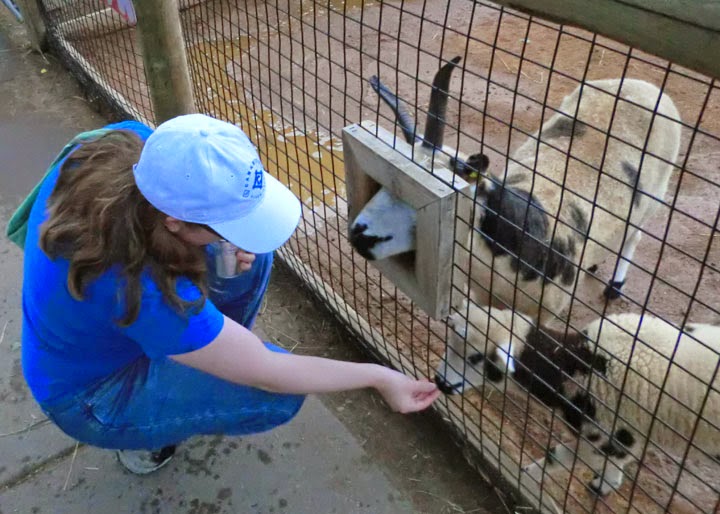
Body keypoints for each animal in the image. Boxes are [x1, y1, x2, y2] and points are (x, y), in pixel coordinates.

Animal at [350, 72, 682, 322]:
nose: (359, 235)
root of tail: (646, 86)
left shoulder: (545, 314)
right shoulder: (483, 296)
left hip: (655, 195)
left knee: (634, 236)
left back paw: (615, 285)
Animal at [437, 305, 720, 496]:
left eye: (475, 358)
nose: (439, 382)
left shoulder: (607, 435)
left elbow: (559, 456)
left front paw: (529, 475)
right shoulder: (622, 437)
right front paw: (607, 483)